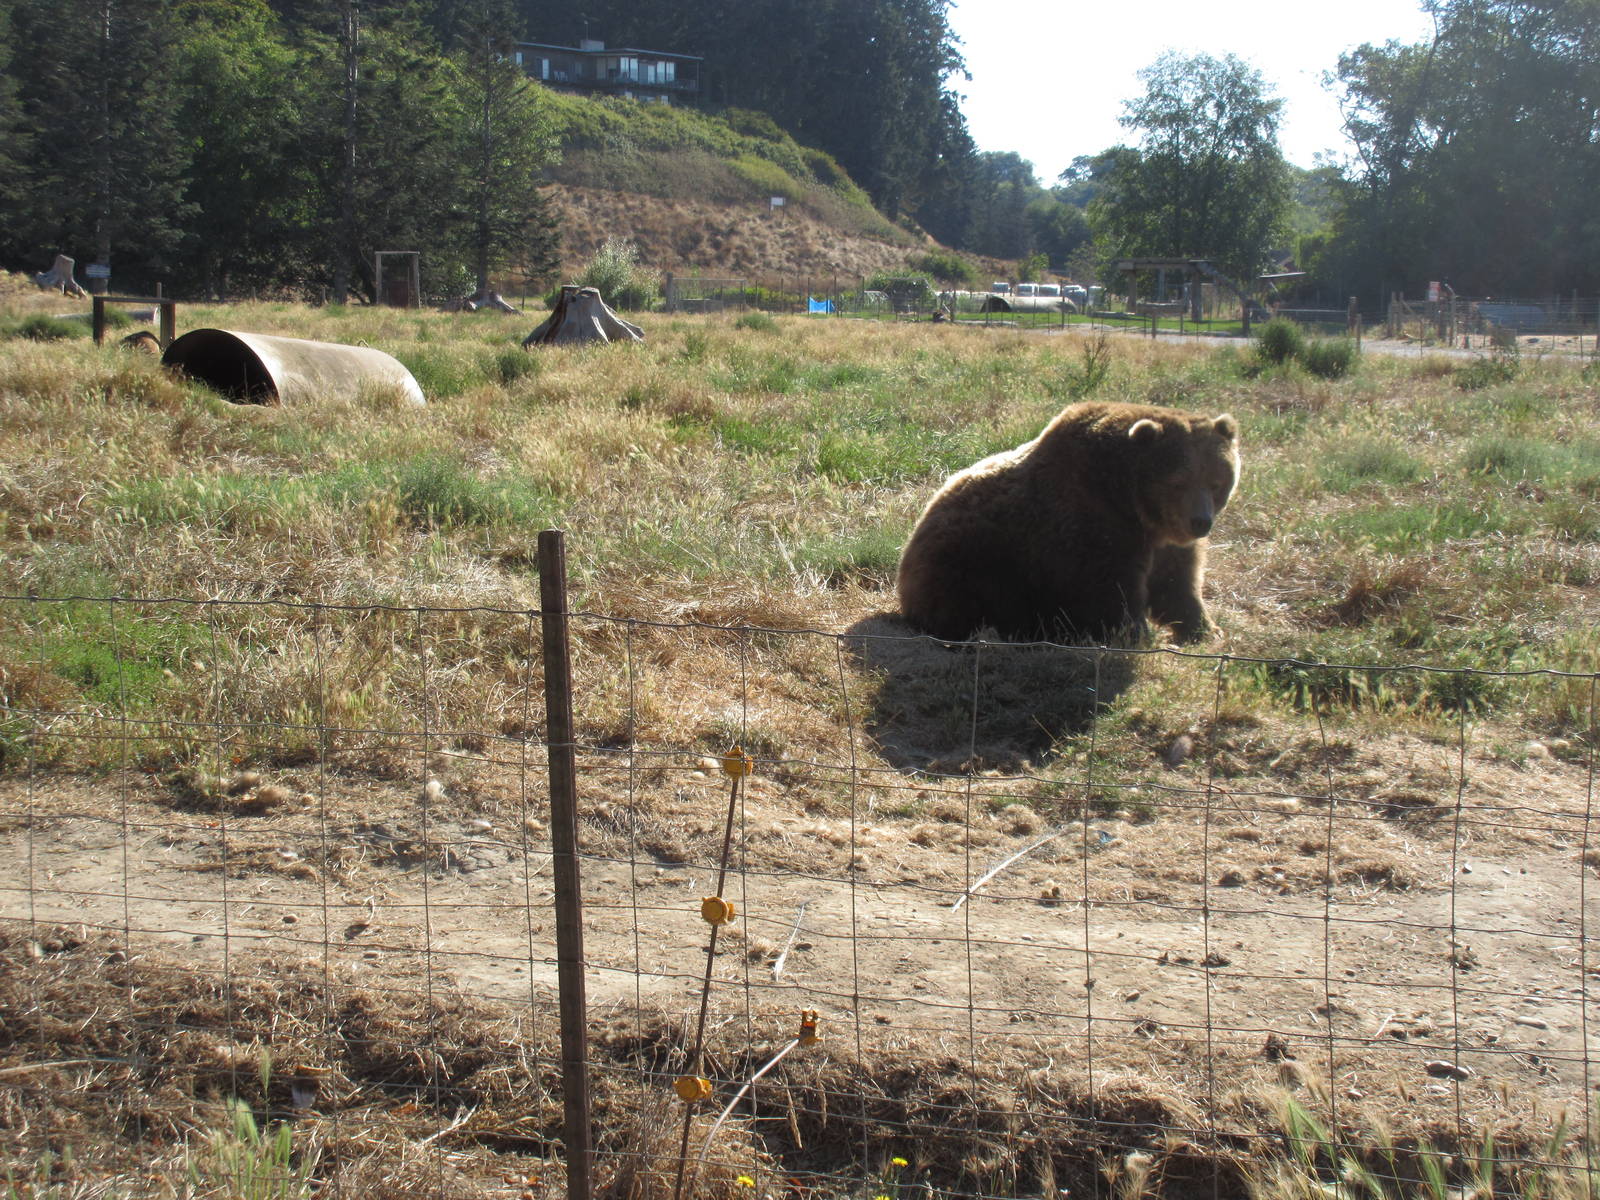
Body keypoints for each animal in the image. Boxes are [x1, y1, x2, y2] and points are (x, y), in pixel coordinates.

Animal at [896, 400, 1239, 644]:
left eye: (1217, 481)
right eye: (1179, 481)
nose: (1200, 522)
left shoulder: (1167, 540)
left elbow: (1177, 583)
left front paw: (1205, 629)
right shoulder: (1092, 529)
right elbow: (1110, 590)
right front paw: (1133, 632)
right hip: (972, 563)